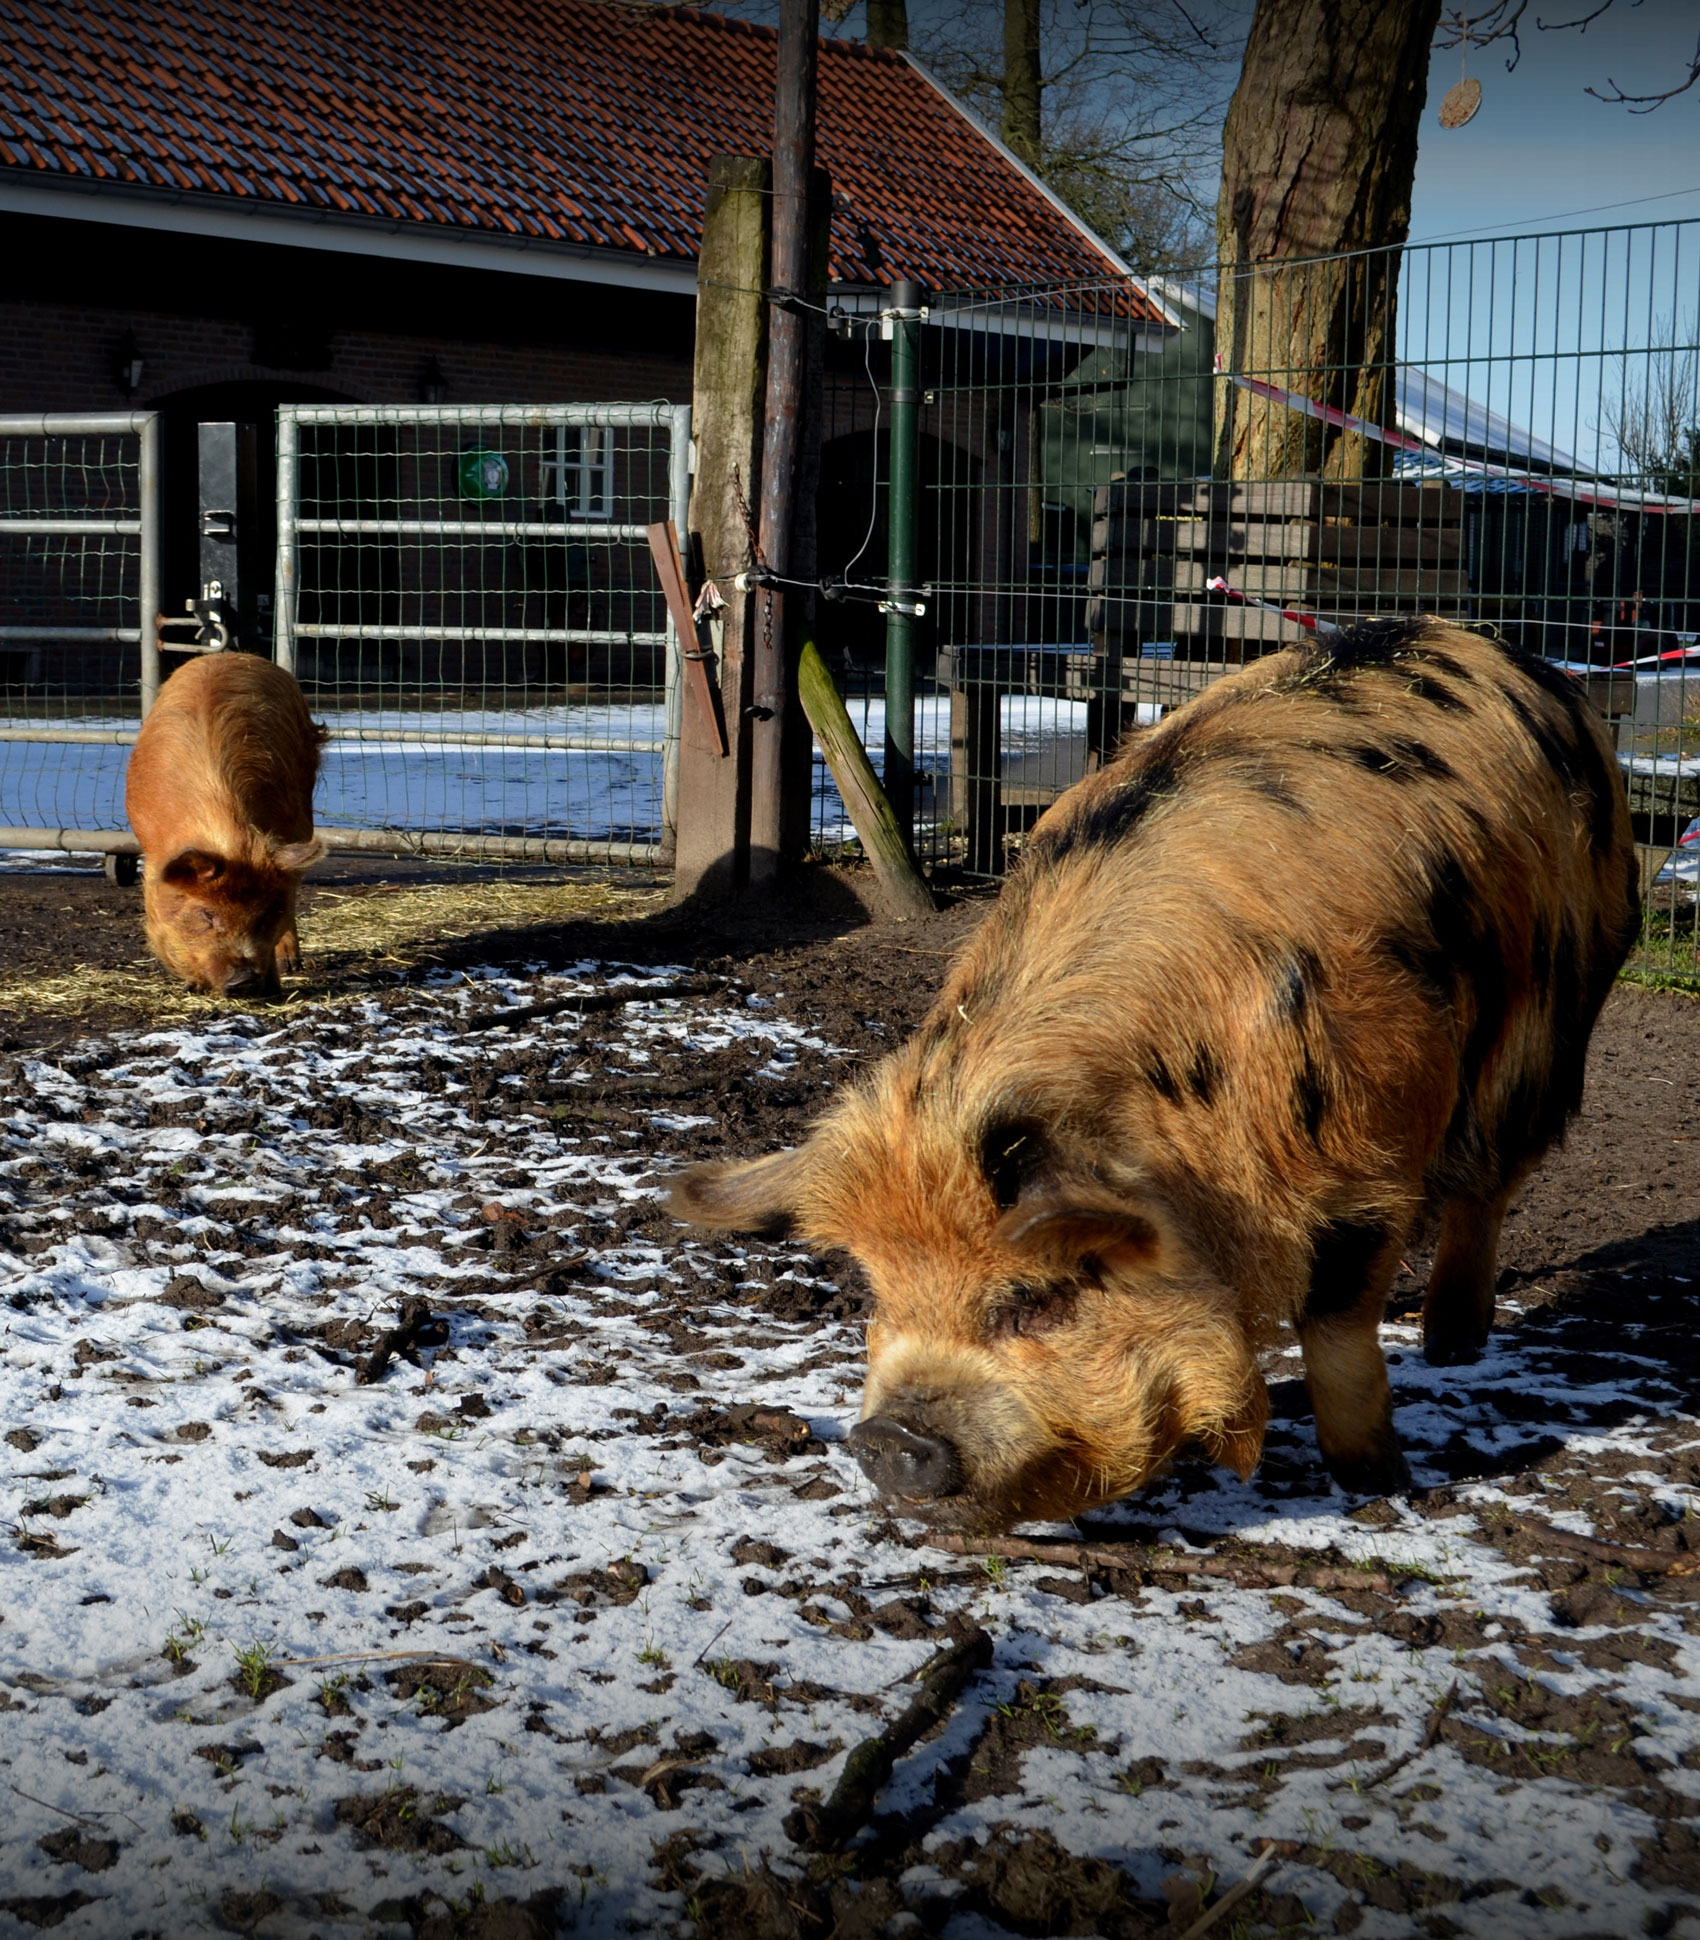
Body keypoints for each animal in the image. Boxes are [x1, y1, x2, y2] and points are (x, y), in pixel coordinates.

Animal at [124, 655, 327, 1001]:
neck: (228, 837)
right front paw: (192, 985)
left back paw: (292, 964)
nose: (244, 981)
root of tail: (229, 655)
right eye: (207, 915)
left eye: (266, 915)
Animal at [671, 620, 1637, 1528]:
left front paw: (1378, 1482)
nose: (882, 1437)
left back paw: (1453, 1346)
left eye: (1037, 1299)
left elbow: (1337, 1330)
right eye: (879, 1289)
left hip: (1553, 1023)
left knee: (1490, 1181)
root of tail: (1504, 651)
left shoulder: (1367, 1164)